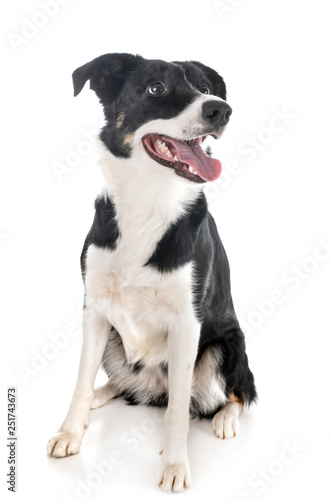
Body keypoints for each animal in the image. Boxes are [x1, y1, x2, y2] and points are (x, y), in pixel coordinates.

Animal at [47, 53, 256, 492]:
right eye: (155, 88)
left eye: (205, 87)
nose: (221, 109)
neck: (148, 201)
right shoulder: (94, 309)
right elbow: (79, 381)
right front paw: (71, 432)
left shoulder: (187, 323)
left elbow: (178, 408)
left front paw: (175, 466)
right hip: (115, 339)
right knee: (124, 383)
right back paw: (103, 393)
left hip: (225, 347)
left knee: (236, 393)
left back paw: (225, 419)